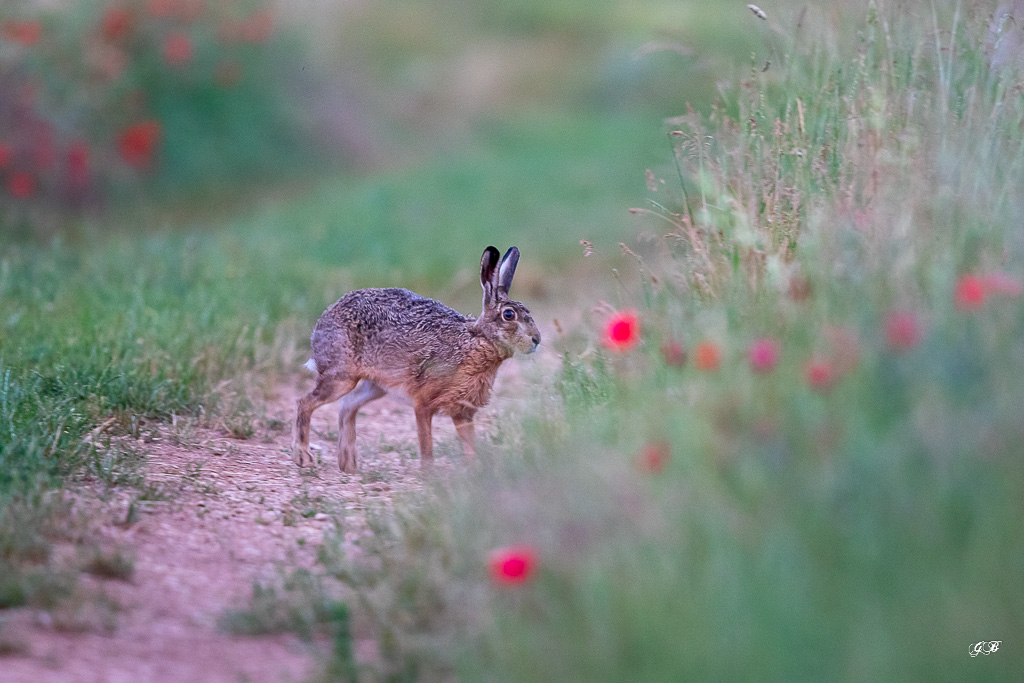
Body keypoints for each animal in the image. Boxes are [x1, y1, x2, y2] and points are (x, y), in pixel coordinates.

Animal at [293, 246, 541, 473]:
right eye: (508, 315)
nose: (537, 339)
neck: (475, 340)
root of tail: (324, 318)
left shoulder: (462, 411)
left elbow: (470, 444)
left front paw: (476, 473)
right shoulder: (423, 403)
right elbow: (426, 444)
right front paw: (429, 477)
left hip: (377, 385)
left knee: (347, 406)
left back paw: (348, 464)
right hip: (341, 377)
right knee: (306, 402)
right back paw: (304, 457)